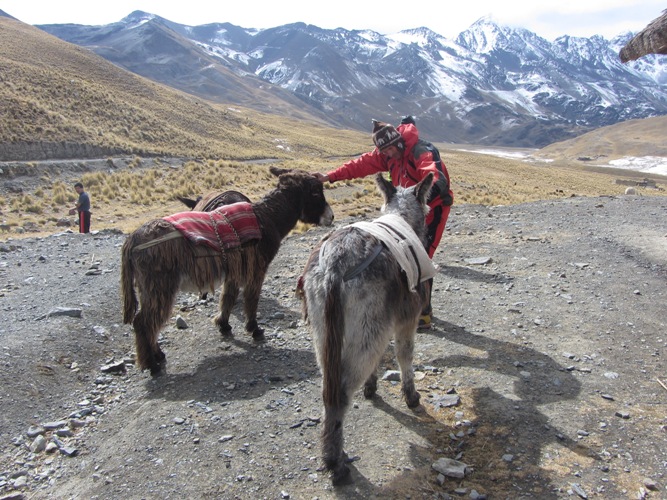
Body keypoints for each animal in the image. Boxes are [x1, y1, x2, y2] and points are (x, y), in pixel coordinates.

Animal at [121, 166, 334, 376]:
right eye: (316, 192)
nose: (331, 217)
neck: (266, 218)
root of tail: (133, 239)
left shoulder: (235, 271)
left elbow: (228, 298)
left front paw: (223, 325)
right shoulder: (256, 269)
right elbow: (251, 300)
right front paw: (254, 329)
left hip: (151, 289)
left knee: (147, 322)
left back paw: (157, 355)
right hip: (160, 286)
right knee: (143, 322)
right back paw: (152, 364)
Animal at [299, 172, 435, 485]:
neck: (401, 217)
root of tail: (334, 264)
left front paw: (372, 387)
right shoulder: (405, 321)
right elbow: (405, 357)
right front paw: (411, 397)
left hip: (327, 334)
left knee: (329, 389)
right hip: (365, 330)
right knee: (340, 395)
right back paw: (335, 463)